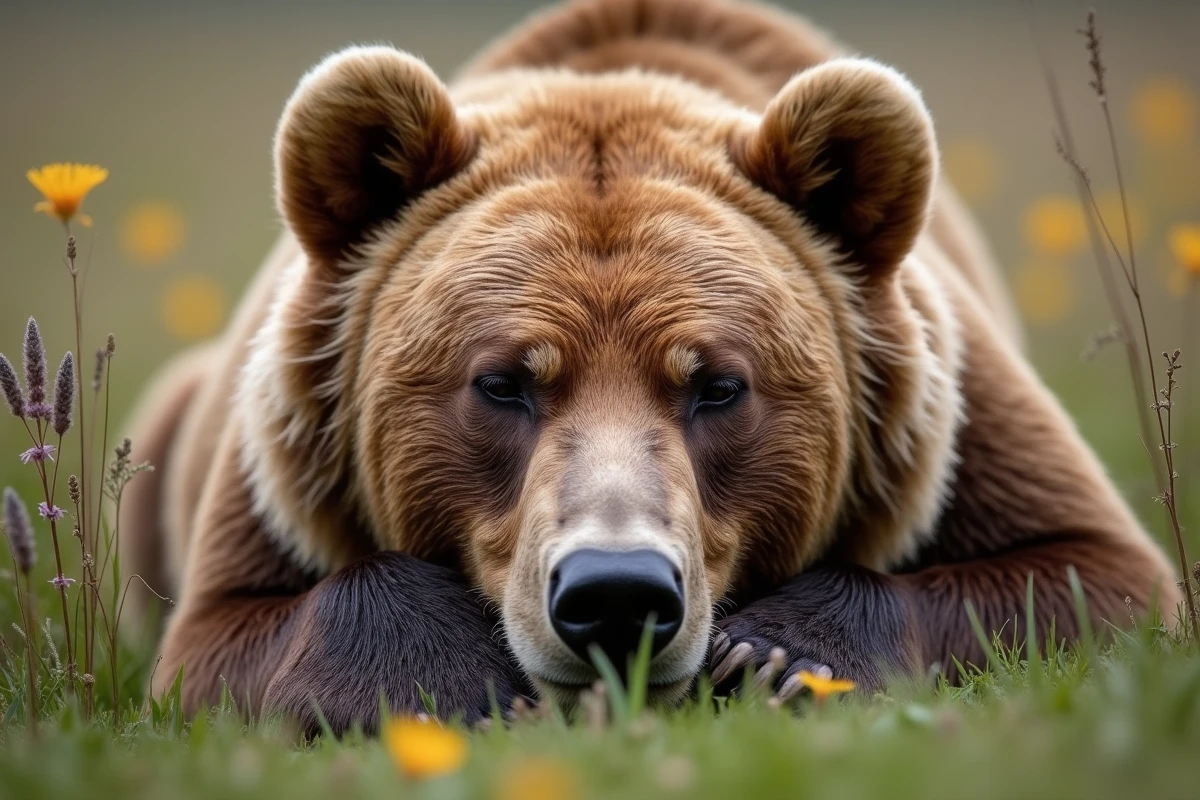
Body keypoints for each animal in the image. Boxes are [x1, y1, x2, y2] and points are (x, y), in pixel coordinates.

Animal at [119, 0, 1180, 733]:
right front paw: (458, 674)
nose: (617, 592)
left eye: (717, 384)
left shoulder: (955, 429)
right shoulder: (275, 483)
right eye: (502, 381)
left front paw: (775, 653)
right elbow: (223, 639)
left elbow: (1092, 576)